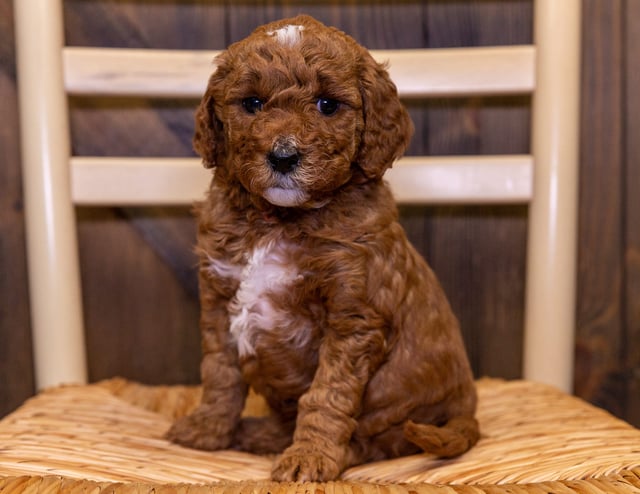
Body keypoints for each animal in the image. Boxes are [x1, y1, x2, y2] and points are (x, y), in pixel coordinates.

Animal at [168, 14, 478, 482]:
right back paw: (263, 434)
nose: (283, 156)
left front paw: (309, 456)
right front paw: (208, 429)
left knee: (379, 441)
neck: (279, 221)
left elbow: (327, 395)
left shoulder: (353, 317)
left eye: (328, 105)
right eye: (252, 103)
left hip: (400, 409)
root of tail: (467, 408)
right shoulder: (219, 297)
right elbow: (220, 373)